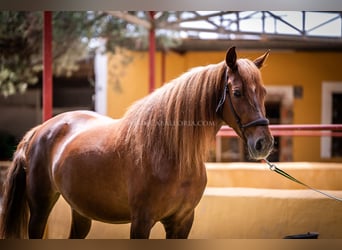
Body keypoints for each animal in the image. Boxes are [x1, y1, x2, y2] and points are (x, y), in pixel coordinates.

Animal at [0, 46, 272, 238]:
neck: (170, 155)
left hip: (80, 210)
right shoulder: (141, 222)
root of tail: (40, 131)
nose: (264, 144)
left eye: (263, 92)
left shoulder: (182, 222)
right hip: (39, 209)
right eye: (237, 92)